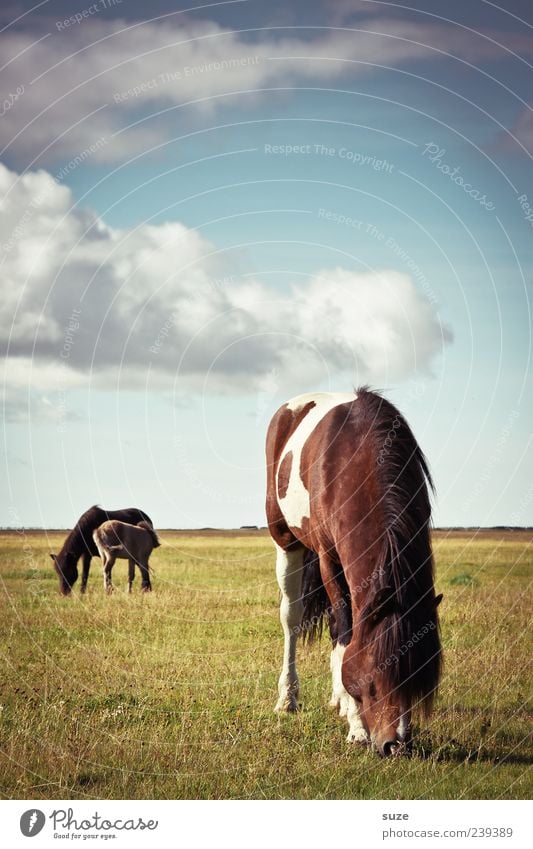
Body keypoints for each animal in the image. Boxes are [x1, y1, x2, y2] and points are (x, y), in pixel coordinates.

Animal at [264, 386, 442, 756]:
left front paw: (348, 707)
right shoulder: (328, 560)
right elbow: (345, 636)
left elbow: (342, 635)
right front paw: (357, 728)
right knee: (292, 618)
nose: (395, 746)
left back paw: (337, 701)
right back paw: (288, 698)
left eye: (416, 679)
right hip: (286, 541)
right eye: (372, 681)